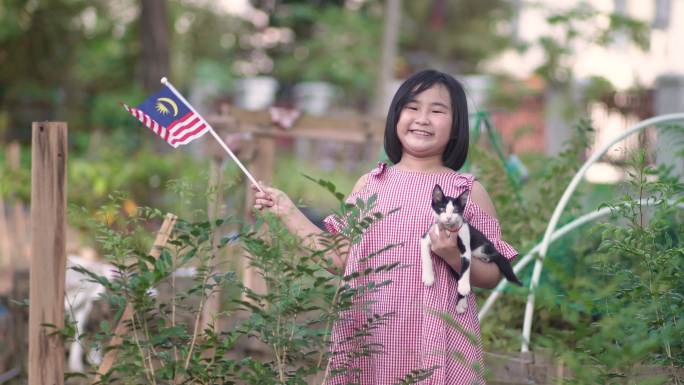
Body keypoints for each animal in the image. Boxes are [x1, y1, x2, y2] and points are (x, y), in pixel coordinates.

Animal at [416, 184, 524, 314]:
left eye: (455, 211)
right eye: (442, 209)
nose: (448, 217)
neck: (447, 231)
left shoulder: (464, 244)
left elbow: (465, 266)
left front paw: (463, 286)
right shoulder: (427, 236)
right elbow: (426, 256)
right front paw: (428, 277)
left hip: (482, 248)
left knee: (497, 256)